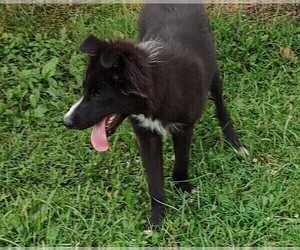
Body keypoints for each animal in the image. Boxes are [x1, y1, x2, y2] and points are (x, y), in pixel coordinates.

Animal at [63, 3, 248, 224]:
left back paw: (235, 143)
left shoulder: (184, 126)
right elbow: (154, 180)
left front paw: (182, 188)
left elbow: (181, 160)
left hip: (212, 69)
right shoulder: (145, 134)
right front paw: (157, 219)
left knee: (220, 105)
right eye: (85, 90)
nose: (66, 121)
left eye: (97, 95)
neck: (157, 92)